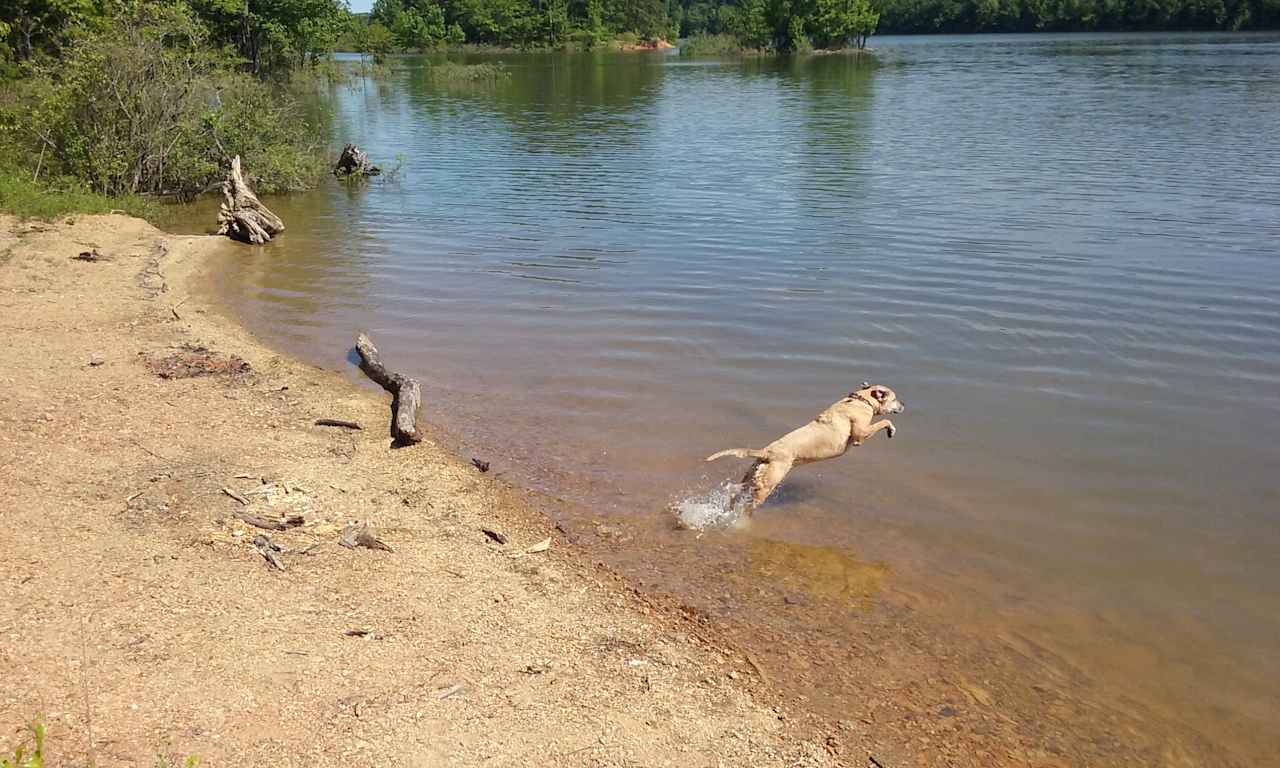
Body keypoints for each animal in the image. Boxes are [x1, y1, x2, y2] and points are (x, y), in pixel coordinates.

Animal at [706, 381, 906, 509]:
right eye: (895, 399)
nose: (904, 403)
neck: (861, 400)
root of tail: (766, 452)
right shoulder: (861, 433)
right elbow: (884, 421)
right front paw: (891, 430)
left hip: (753, 476)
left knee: (737, 493)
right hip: (767, 484)